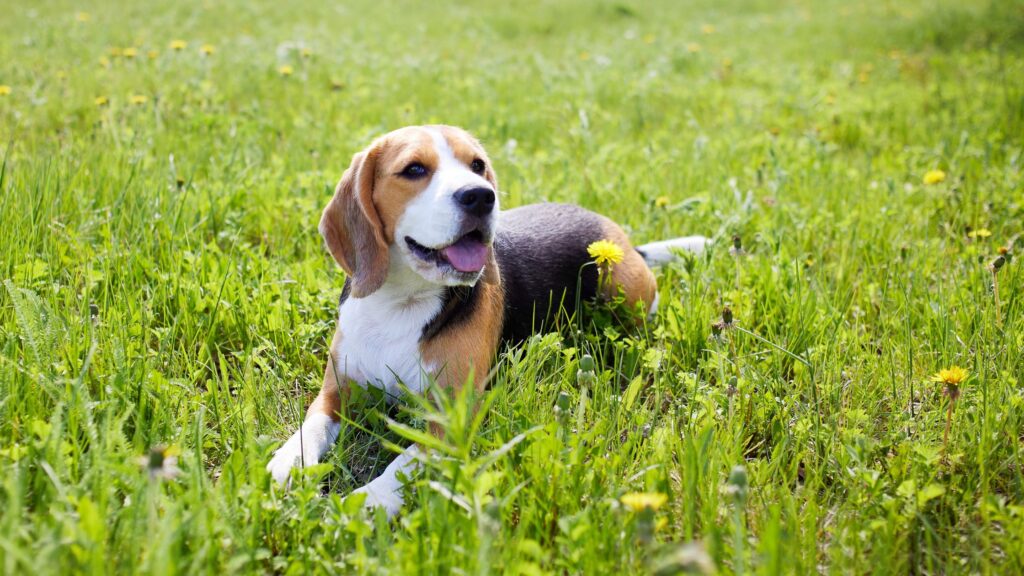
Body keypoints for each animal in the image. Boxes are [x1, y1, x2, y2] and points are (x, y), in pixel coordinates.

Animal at [268, 125, 708, 516]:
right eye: (414, 169)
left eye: (477, 165)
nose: (480, 196)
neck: (402, 303)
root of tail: (624, 241)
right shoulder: (336, 393)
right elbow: (311, 427)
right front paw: (284, 466)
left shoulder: (451, 419)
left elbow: (400, 465)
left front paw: (365, 503)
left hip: (620, 286)